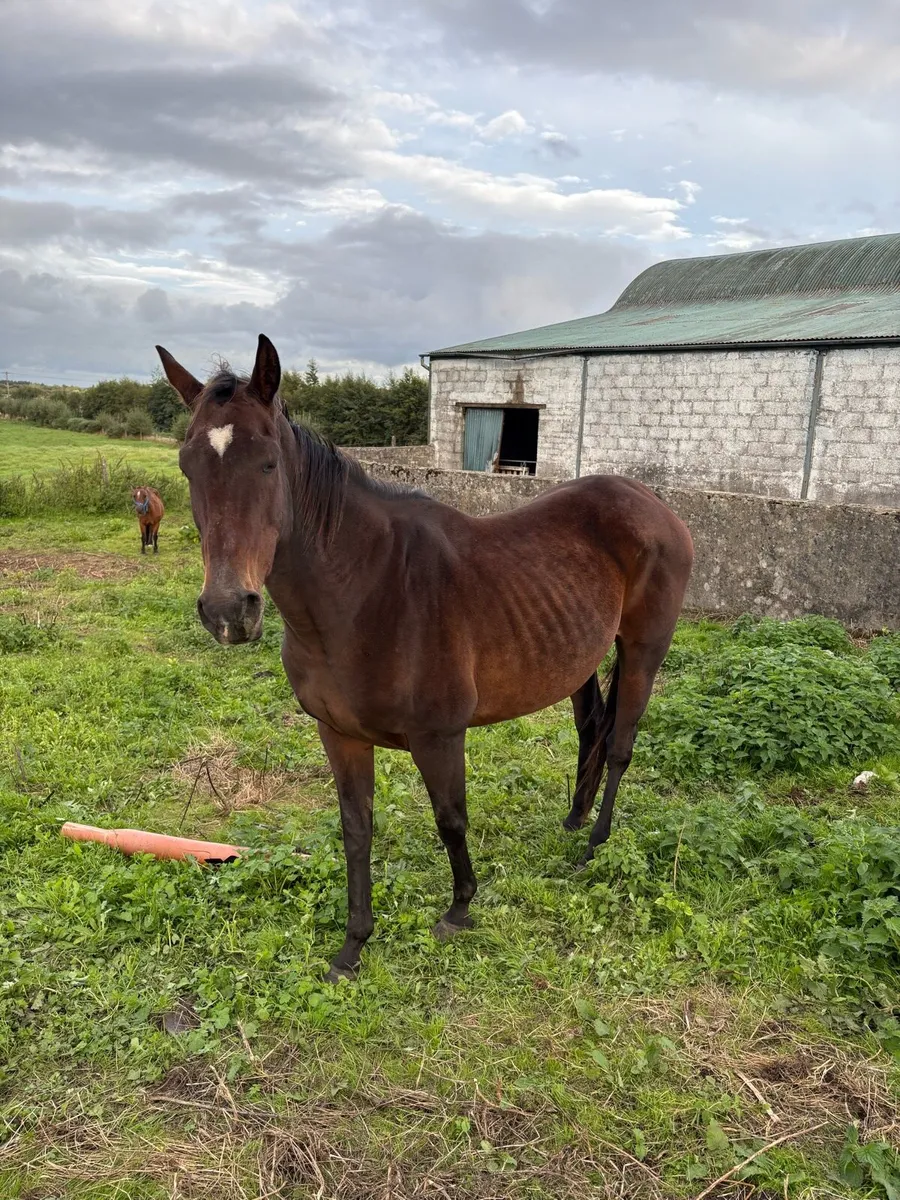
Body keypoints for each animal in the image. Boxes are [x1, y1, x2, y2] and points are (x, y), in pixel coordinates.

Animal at [156, 335, 694, 982]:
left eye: (267, 463)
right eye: (188, 466)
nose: (228, 611)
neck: (365, 592)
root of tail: (654, 505)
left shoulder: (440, 736)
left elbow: (450, 818)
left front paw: (460, 908)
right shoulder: (339, 734)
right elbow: (357, 830)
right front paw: (354, 945)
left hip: (643, 650)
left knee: (618, 745)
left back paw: (595, 844)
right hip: (579, 659)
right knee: (592, 730)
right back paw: (573, 821)